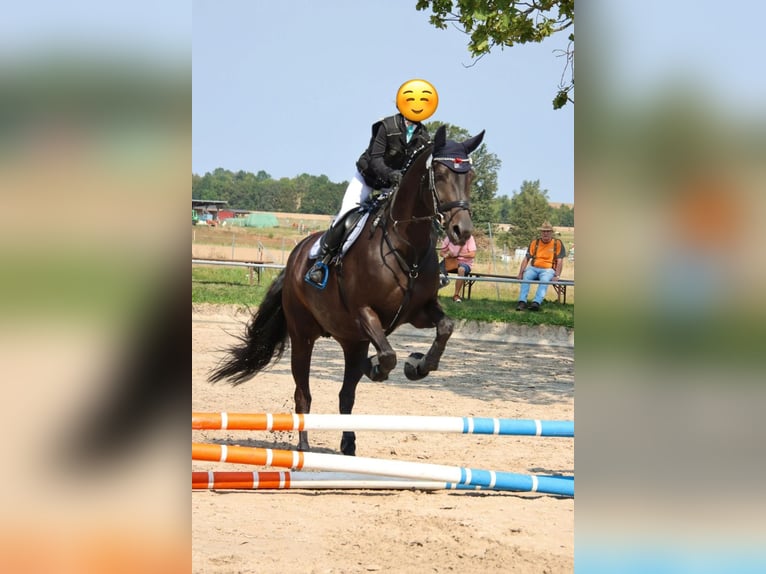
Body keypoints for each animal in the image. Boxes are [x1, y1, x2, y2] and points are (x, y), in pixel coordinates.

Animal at [208, 124, 486, 456]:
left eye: (470, 176)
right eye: (440, 175)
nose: (462, 231)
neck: (406, 244)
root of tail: (294, 259)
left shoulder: (418, 311)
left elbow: (445, 327)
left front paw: (418, 365)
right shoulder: (364, 312)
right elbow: (388, 355)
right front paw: (388, 367)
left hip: (351, 340)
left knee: (346, 394)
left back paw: (349, 441)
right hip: (304, 336)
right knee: (303, 393)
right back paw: (305, 445)